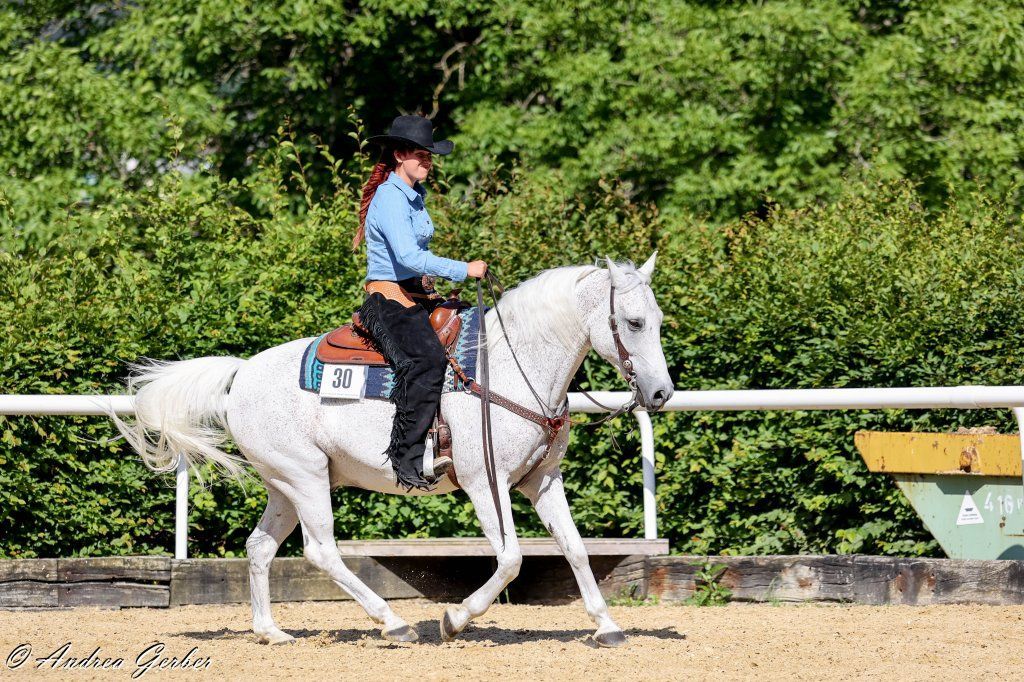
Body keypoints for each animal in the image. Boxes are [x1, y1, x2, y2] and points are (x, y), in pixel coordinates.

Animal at [110, 253, 673, 648]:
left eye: (660, 319)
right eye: (634, 322)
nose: (662, 393)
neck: (512, 368)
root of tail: (241, 372)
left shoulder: (542, 481)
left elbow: (575, 549)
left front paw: (606, 625)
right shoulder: (484, 483)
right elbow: (512, 558)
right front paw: (454, 619)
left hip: (284, 485)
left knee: (260, 547)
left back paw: (271, 631)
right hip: (306, 478)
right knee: (321, 550)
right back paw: (393, 623)